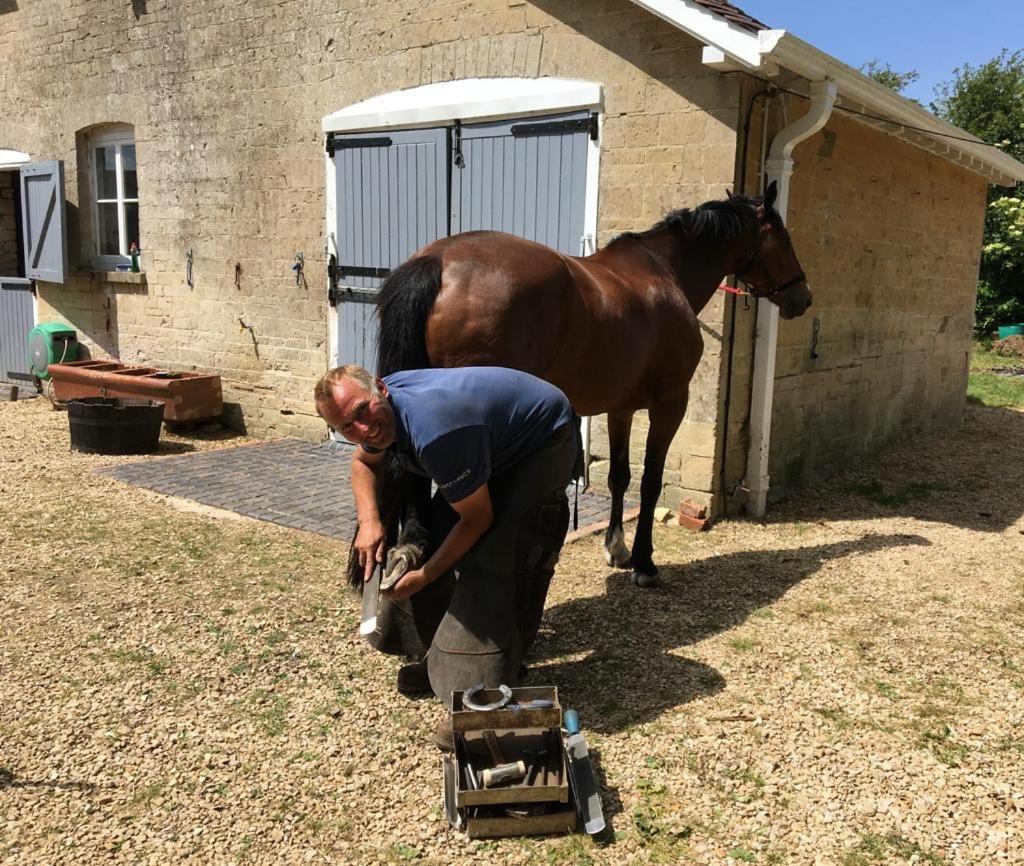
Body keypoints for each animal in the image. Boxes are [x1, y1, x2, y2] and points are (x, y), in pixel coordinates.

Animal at [368, 182, 806, 589]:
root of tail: (437, 262)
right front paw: (645, 562)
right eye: (784, 239)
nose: (803, 297)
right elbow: (650, 481)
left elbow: (619, 476)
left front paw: (617, 548)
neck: (665, 273)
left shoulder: (621, 407)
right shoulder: (670, 403)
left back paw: (411, 546)